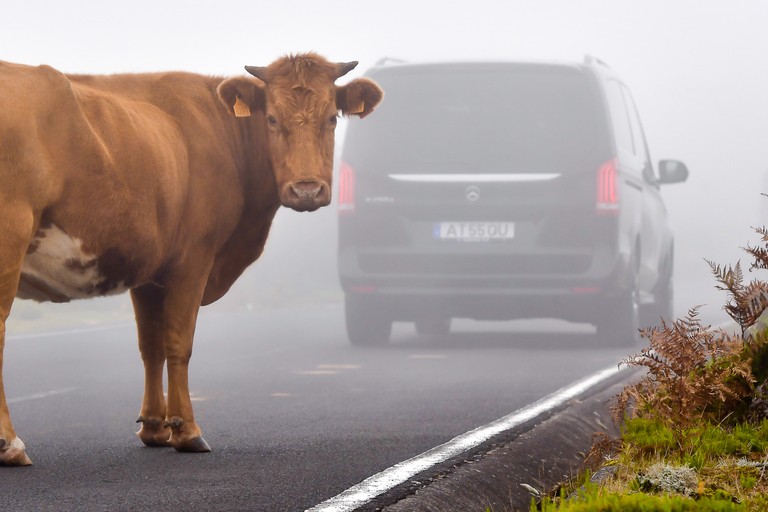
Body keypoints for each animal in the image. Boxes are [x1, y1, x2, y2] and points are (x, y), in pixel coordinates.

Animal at [0, 52, 384, 464]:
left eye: (331, 118)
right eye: (271, 119)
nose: (307, 190)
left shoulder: (148, 271)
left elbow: (151, 347)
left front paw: (154, 427)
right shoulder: (194, 260)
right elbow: (179, 345)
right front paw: (187, 431)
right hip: (11, 237)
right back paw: (11, 444)